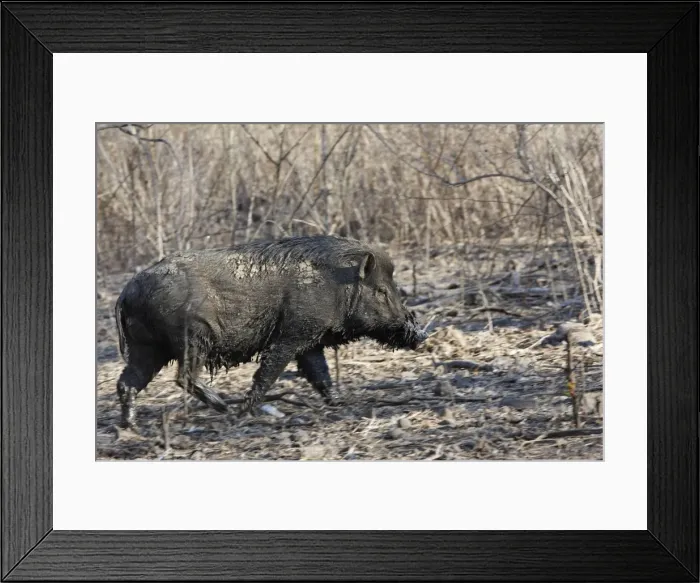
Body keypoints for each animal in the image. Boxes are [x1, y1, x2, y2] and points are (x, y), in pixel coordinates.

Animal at [114, 234, 427, 428]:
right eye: (382, 291)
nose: (420, 336)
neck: (338, 286)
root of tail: (126, 292)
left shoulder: (310, 341)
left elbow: (320, 374)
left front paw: (339, 402)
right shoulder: (291, 335)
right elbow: (268, 372)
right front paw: (246, 412)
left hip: (147, 347)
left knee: (127, 382)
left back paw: (130, 427)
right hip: (193, 338)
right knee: (183, 376)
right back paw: (225, 408)